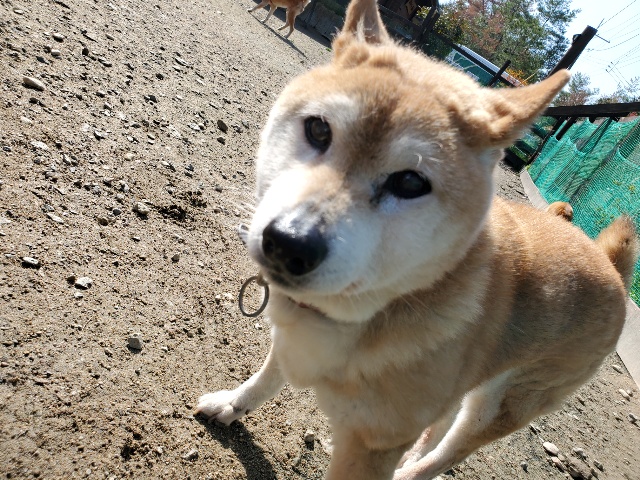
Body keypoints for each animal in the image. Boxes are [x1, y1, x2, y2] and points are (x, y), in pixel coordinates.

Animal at [196, 0, 639, 478]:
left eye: (410, 182)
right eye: (318, 130)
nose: (288, 243)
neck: (369, 310)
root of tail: (609, 264)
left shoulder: (372, 444)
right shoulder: (294, 341)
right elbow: (266, 377)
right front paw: (233, 404)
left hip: (503, 403)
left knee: (451, 449)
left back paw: (413, 469)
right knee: (442, 417)